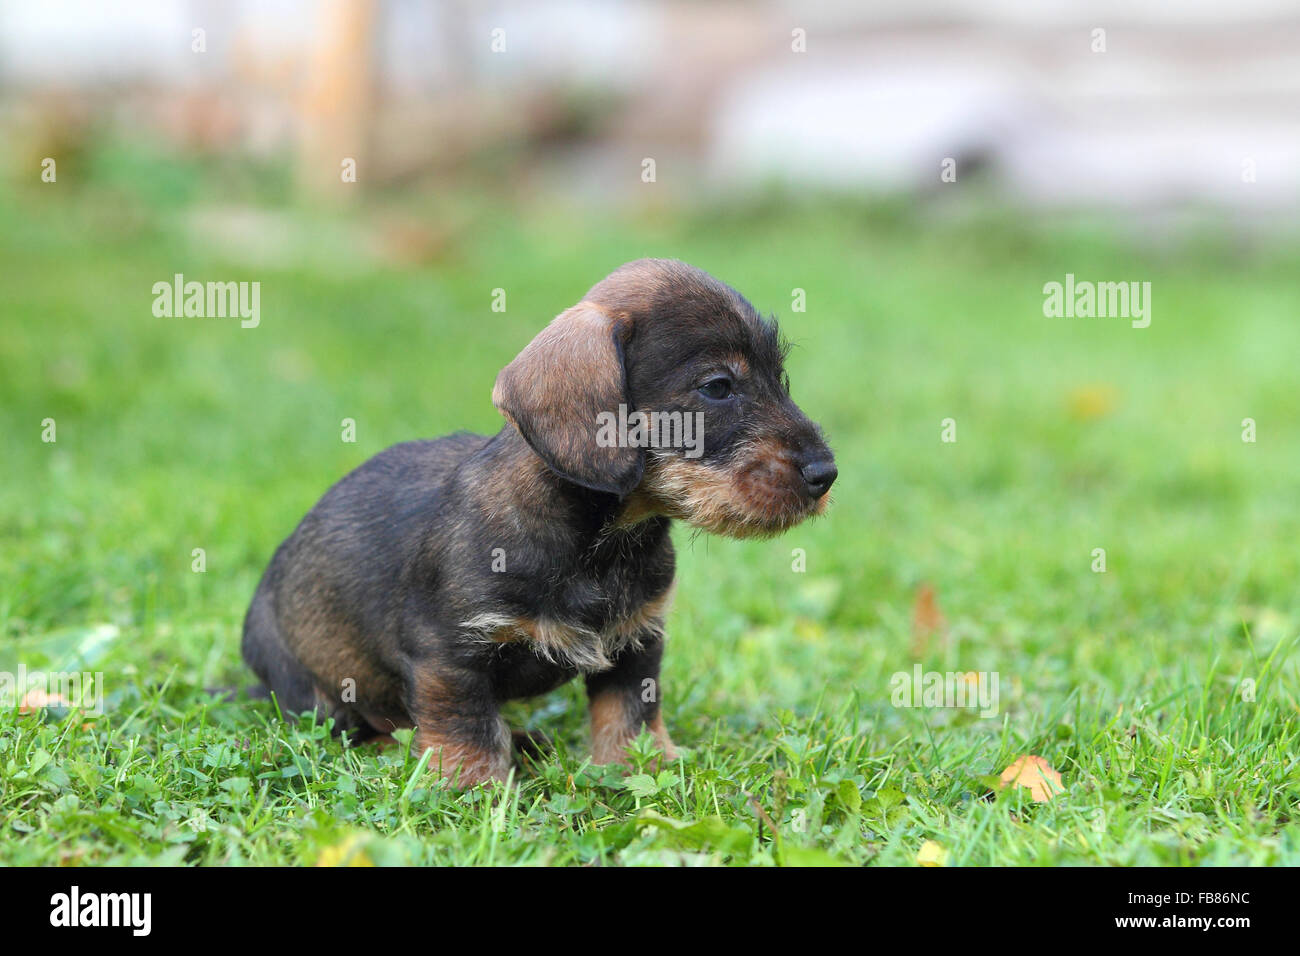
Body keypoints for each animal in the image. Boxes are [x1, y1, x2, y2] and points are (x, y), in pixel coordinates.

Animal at [239, 256, 837, 785]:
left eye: (779, 378)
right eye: (717, 386)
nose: (825, 473)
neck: (599, 541)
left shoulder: (638, 642)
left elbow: (630, 714)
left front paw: (641, 768)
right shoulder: (448, 655)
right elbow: (465, 726)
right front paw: (471, 788)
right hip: (316, 689)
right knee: (360, 728)